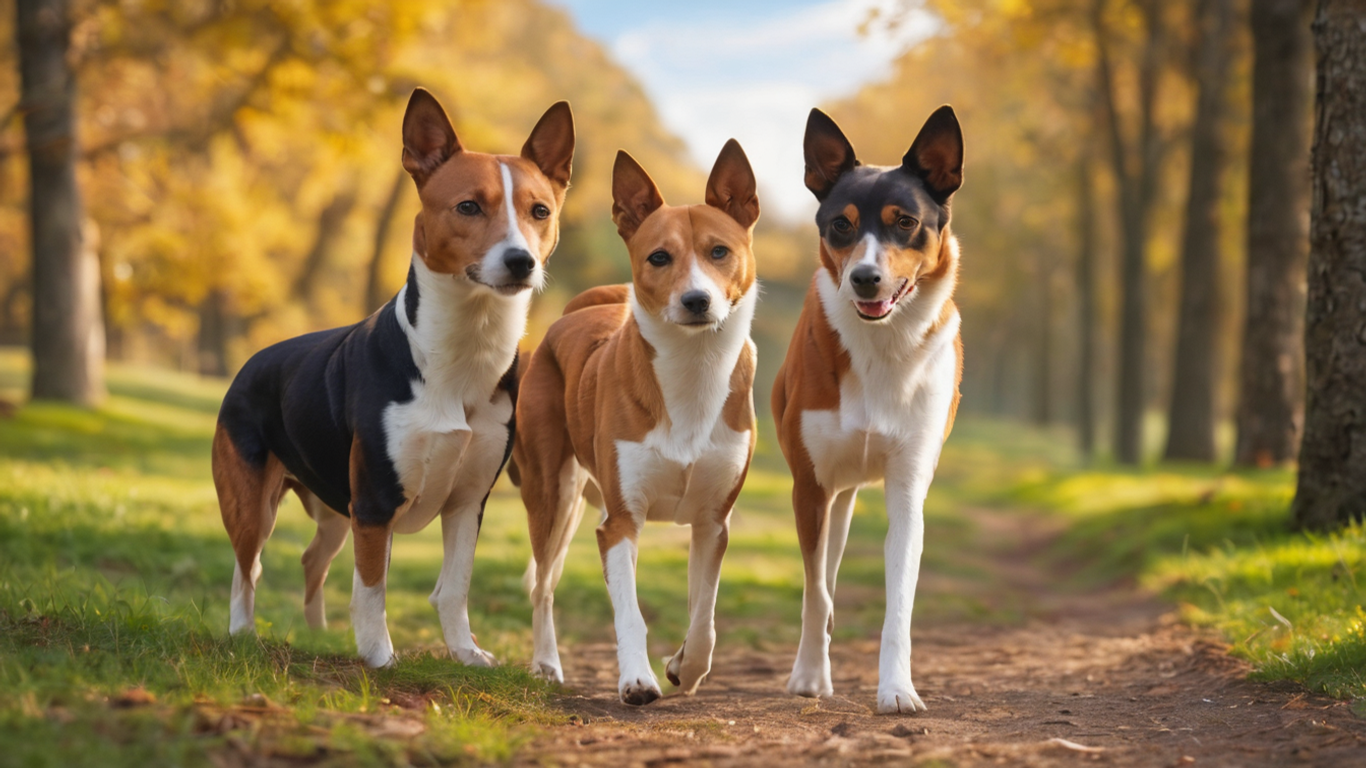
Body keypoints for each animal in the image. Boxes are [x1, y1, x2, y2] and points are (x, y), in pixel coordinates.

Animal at [210, 88, 573, 664]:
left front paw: (466, 654)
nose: (521, 261)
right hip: (253, 503)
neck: (462, 352)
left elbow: (455, 587)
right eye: (468, 206)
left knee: (312, 559)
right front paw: (379, 657)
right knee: (249, 568)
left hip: (336, 509)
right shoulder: (376, 502)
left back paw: (319, 635)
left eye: (540, 211)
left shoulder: (468, 501)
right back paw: (243, 633)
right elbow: (372, 588)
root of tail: (252, 360)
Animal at [513, 140, 764, 705]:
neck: (693, 370)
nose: (697, 300)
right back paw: (545, 664)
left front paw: (685, 669)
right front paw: (638, 679)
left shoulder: (713, 522)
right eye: (659, 257)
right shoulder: (620, 523)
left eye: (719, 252)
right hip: (553, 496)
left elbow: (704, 616)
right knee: (543, 585)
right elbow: (629, 613)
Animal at [770, 105, 972, 710]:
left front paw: (898, 690)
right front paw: (810, 677)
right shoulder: (809, 487)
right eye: (842, 224)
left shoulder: (909, 486)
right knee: (823, 580)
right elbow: (816, 591)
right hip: (832, 492)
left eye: (904, 221)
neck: (882, 346)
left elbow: (899, 602)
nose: (864, 278)